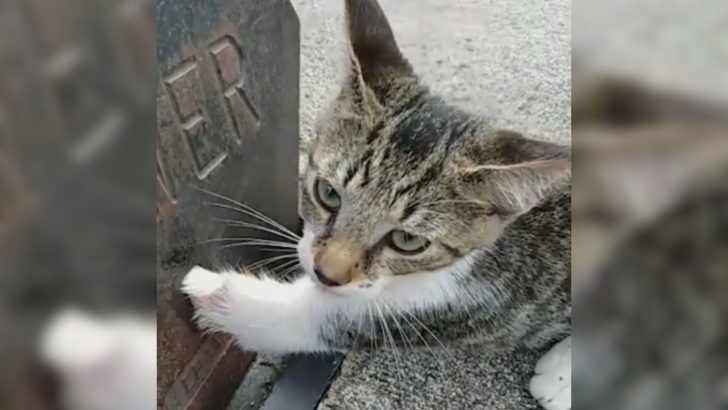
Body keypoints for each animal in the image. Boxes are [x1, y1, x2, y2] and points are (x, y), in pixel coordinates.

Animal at [185, 1, 572, 408]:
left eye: (408, 240)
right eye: (328, 193)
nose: (326, 273)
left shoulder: (456, 309)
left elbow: (319, 319)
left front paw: (215, 291)